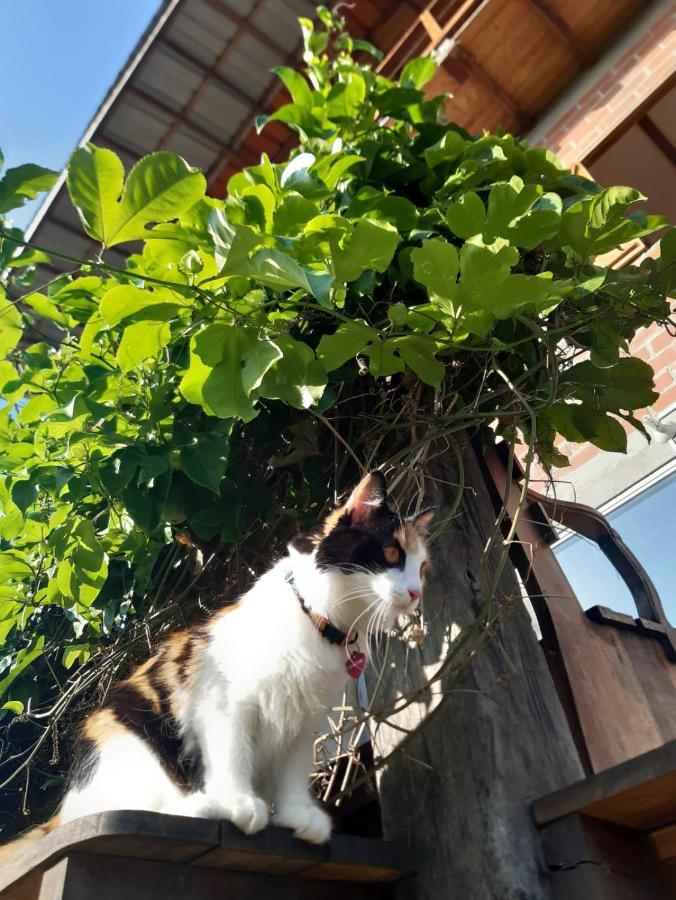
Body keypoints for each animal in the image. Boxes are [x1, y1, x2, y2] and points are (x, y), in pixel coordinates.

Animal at [0, 472, 430, 856]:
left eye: (423, 569)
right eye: (392, 554)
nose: (416, 593)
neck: (319, 621)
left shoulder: (304, 718)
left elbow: (292, 773)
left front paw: (298, 816)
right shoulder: (226, 702)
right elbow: (232, 752)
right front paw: (239, 803)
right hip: (129, 736)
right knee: (134, 807)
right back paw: (205, 804)